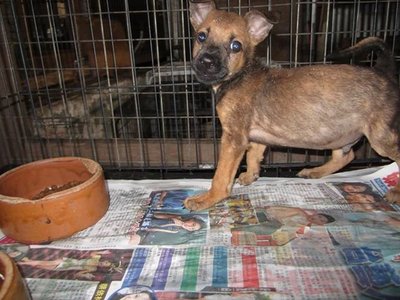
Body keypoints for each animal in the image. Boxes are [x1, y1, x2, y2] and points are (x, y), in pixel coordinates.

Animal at [184, 0, 400, 211]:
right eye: (201, 36)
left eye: (236, 46)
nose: (207, 61)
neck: (238, 76)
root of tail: (383, 71)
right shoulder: (254, 137)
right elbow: (254, 156)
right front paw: (250, 177)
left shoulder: (233, 138)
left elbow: (221, 175)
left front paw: (207, 198)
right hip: (341, 135)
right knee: (346, 157)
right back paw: (314, 172)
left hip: (380, 138)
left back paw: (396, 193)